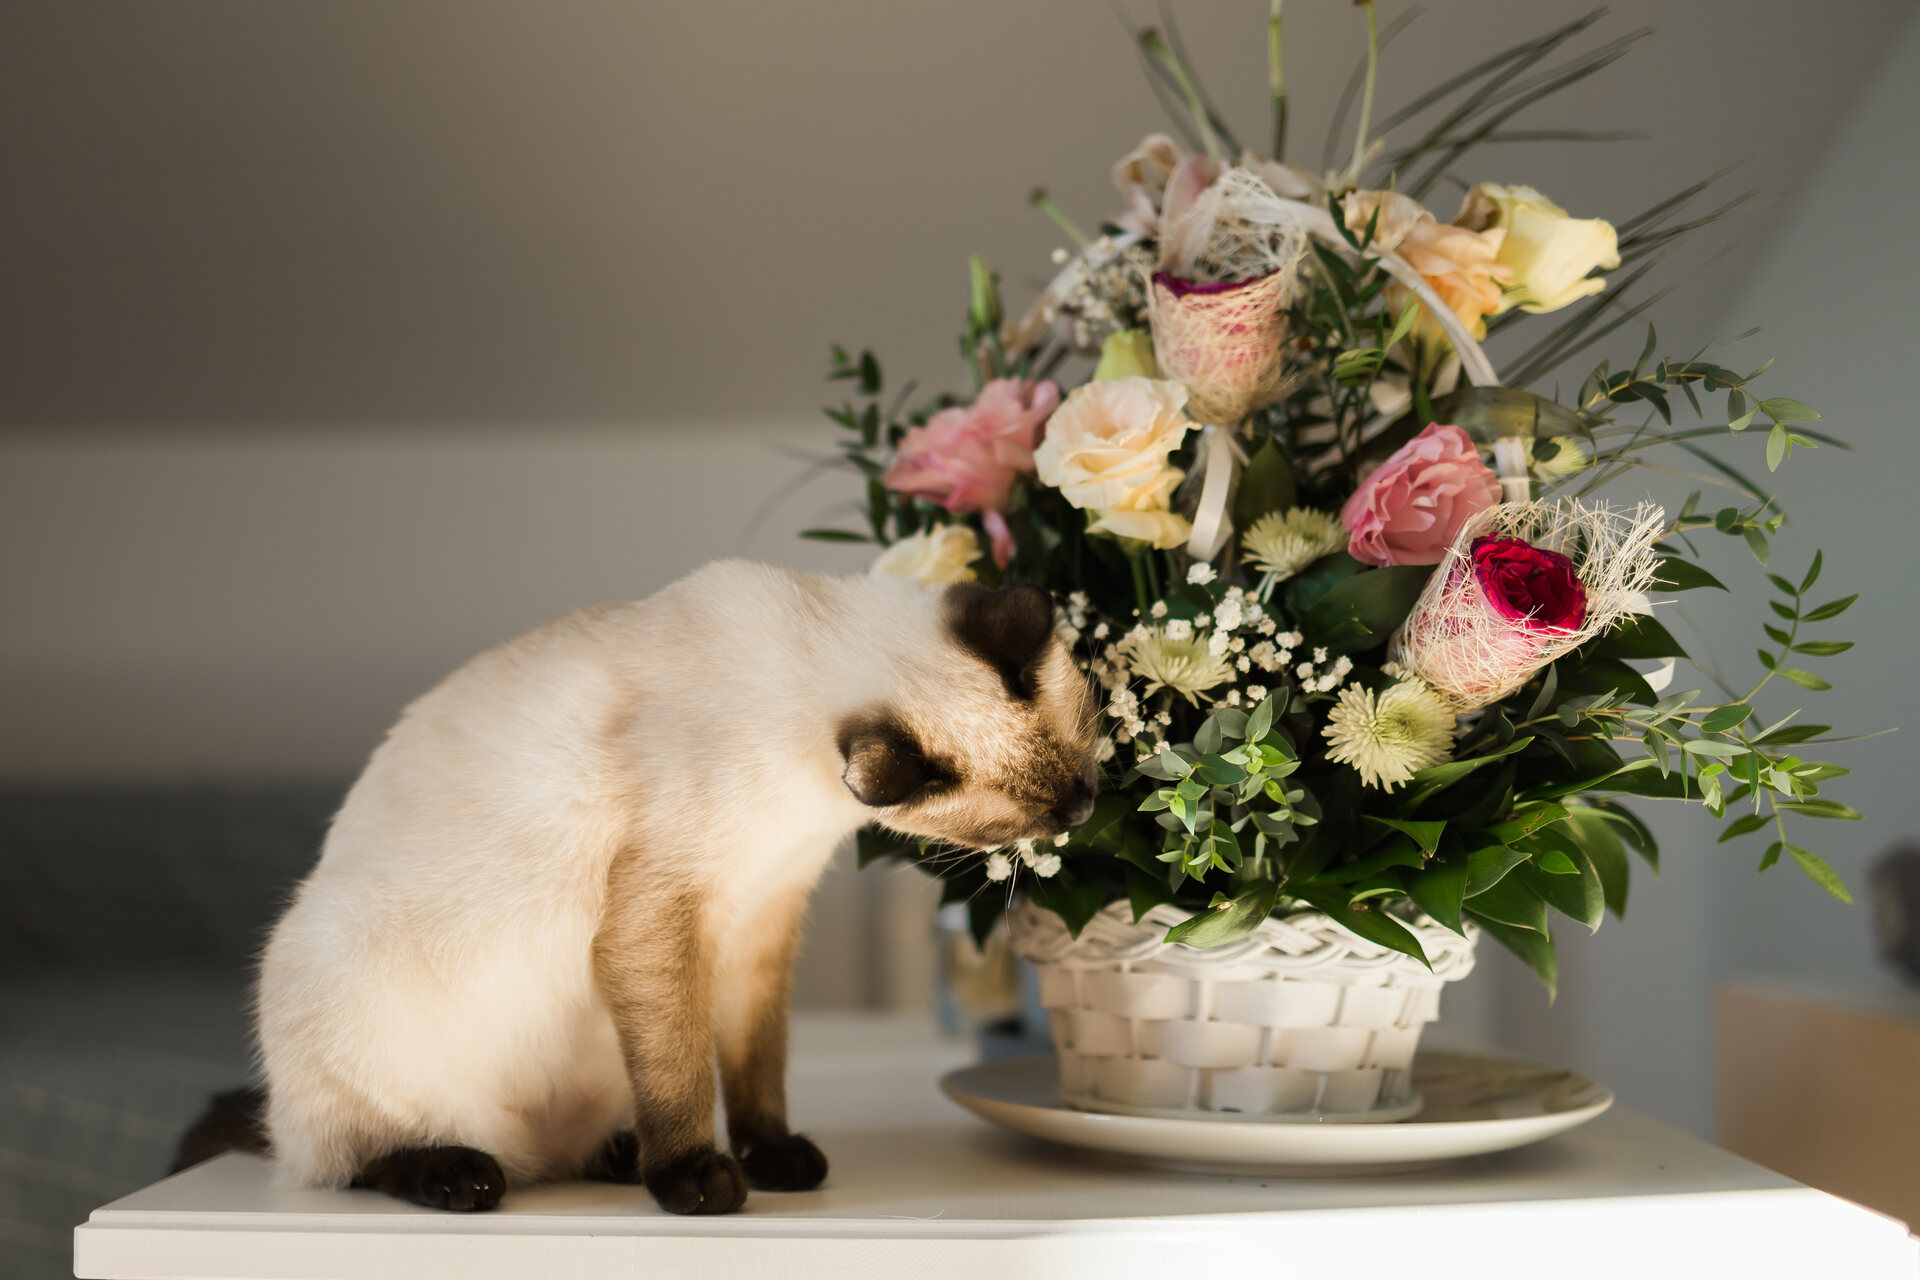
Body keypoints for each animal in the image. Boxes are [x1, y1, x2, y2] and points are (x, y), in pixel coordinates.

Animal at [176, 564, 1098, 1220]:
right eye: (1024, 815)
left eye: (1079, 767)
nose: (1085, 808)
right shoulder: (661, 915)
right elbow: (683, 1067)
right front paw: (696, 1179)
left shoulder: (761, 921)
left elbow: (756, 1067)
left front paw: (771, 1159)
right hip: (335, 977)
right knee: (346, 1161)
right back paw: (465, 1175)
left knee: (557, 1152)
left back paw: (618, 1155)